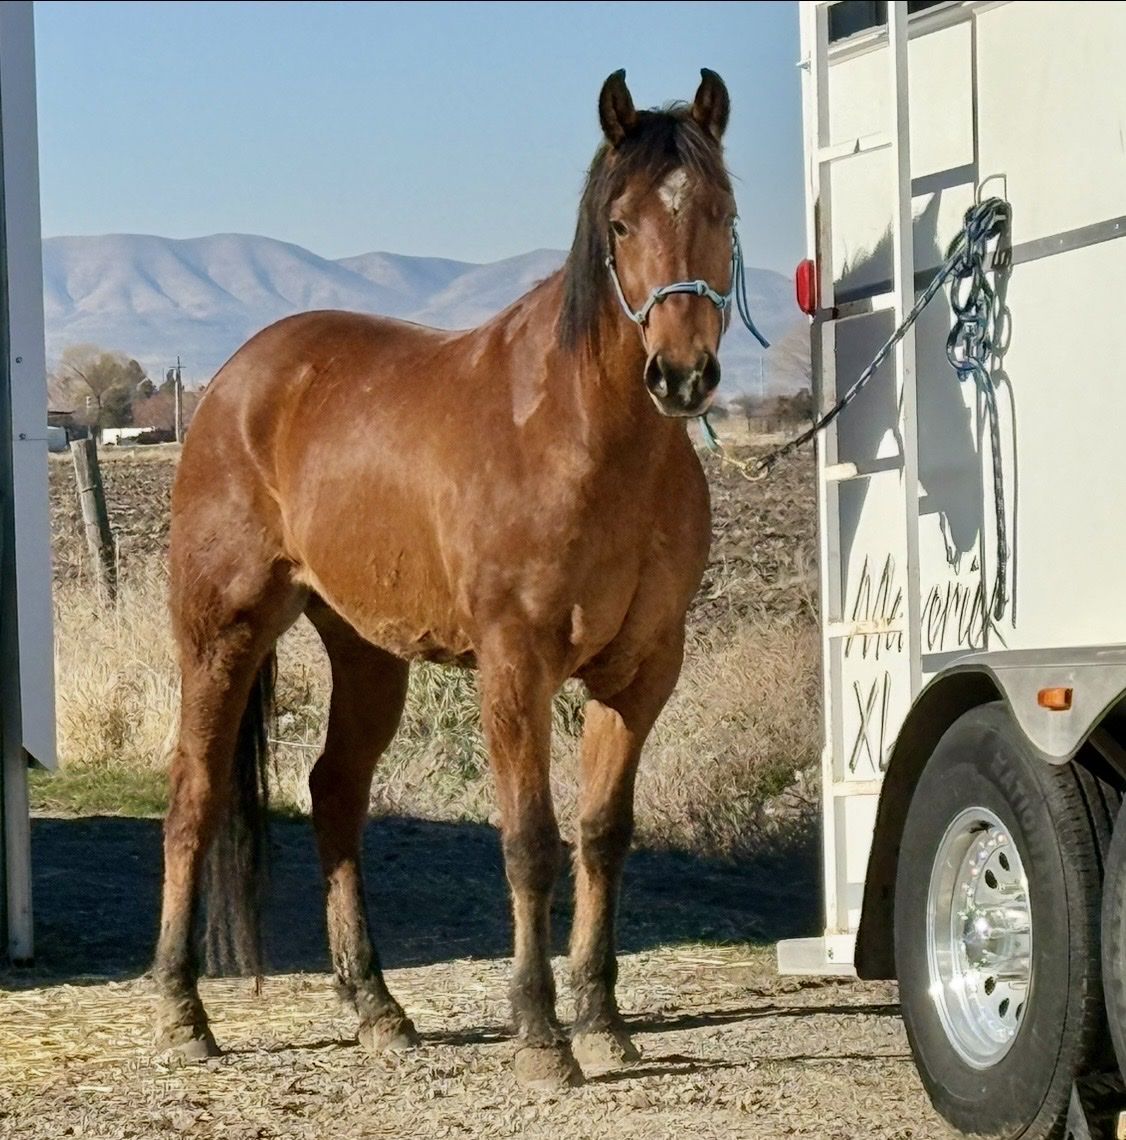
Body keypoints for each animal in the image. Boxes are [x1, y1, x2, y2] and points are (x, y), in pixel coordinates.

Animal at [152, 67, 751, 1091]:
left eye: (720, 209)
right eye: (620, 222)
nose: (681, 376)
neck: (582, 439)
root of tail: (236, 383)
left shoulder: (641, 674)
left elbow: (603, 835)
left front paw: (603, 1020)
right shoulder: (516, 666)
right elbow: (529, 842)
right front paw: (541, 1033)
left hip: (365, 650)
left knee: (334, 793)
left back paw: (376, 1007)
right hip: (223, 630)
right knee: (195, 791)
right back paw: (183, 1011)